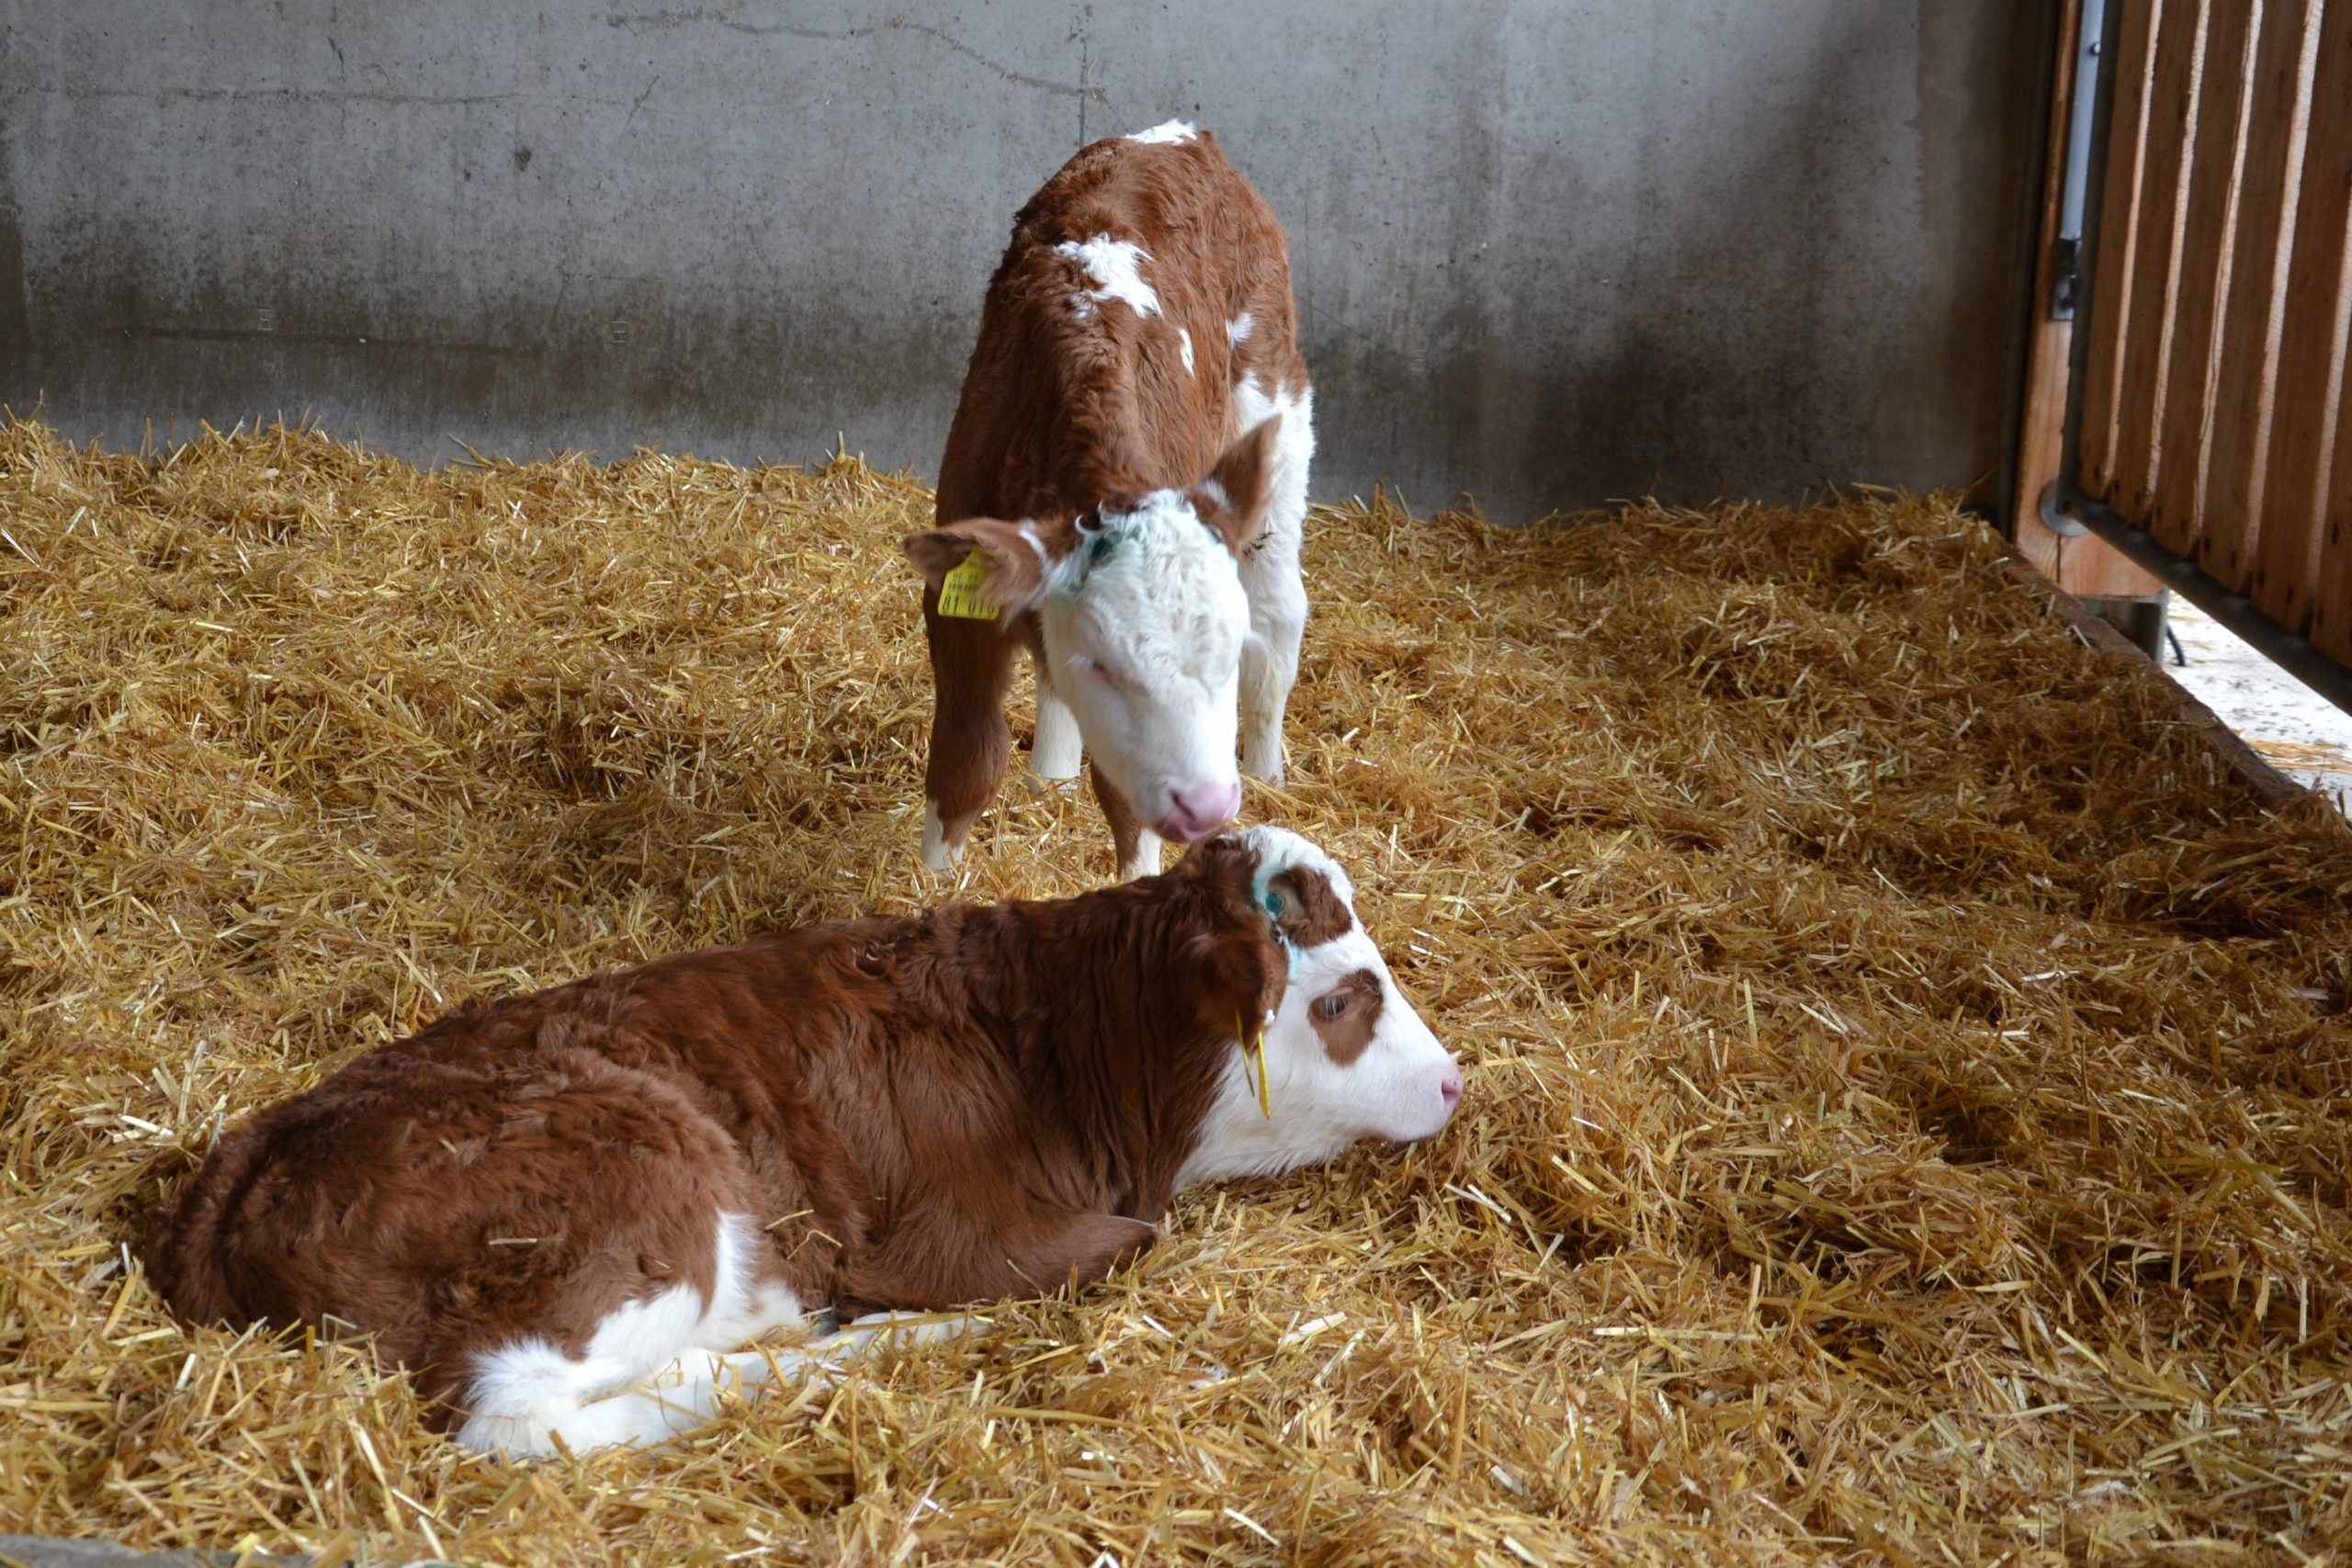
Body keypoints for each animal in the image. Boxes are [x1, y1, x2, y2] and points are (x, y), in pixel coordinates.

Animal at [141, 827, 1448, 1457]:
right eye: (1343, 998)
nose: (1452, 1080)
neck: (1053, 1044)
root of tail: (256, 1145)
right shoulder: (961, 1237)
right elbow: (1124, 1248)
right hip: (638, 1192)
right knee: (520, 1419)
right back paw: (865, 1349)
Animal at [903, 122, 1317, 884]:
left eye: (1225, 651)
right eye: (1103, 663)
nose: (1210, 804)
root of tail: (1184, 136)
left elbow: (1126, 807)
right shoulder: (959, 591)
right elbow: (967, 759)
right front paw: (934, 882)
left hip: (1276, 406)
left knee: (1280, 607)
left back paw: (1267, 769)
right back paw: (1054, 771)